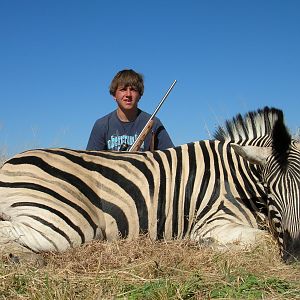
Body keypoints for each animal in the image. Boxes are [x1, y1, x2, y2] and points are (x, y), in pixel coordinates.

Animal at [0, 106, 298, 262]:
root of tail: (7, 164)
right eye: (271, 192)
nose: (296, 253)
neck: (236, 176)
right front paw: (206, 245)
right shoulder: (212, 221)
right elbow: (263, 241)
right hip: (66, 224)